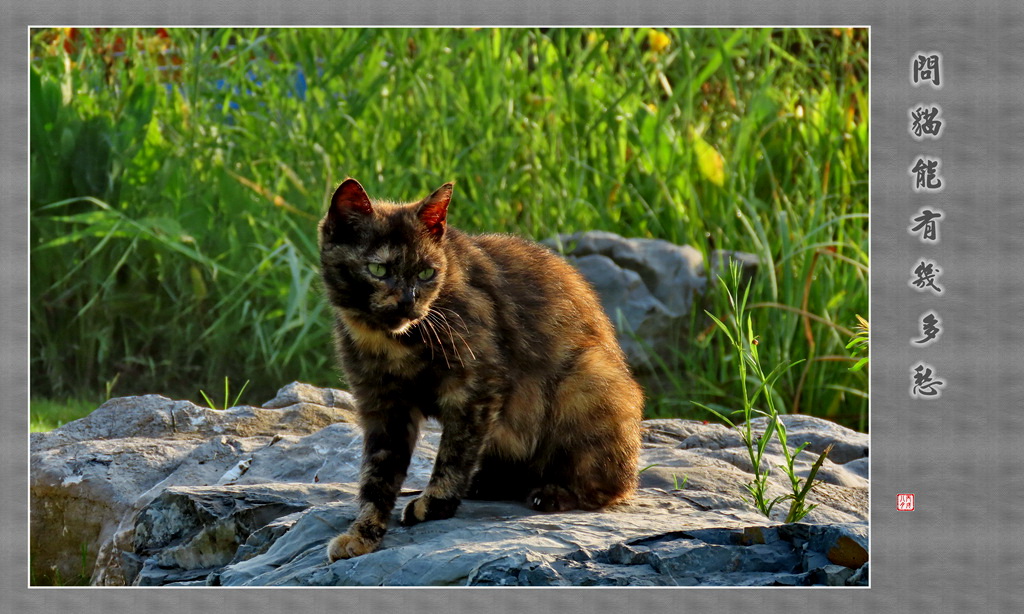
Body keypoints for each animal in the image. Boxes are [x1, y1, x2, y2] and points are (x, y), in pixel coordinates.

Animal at [315, 179, 643, 560]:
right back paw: (484, 484)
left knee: (613, 485)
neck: (391, 342)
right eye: (379, 270)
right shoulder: (381, 406)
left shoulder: (476, 386)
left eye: (427, 273)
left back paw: (552, 493)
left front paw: (434, 504)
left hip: (586, 379)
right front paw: (363, 533)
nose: (409, 301)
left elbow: (453, 454)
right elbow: (376, 475)